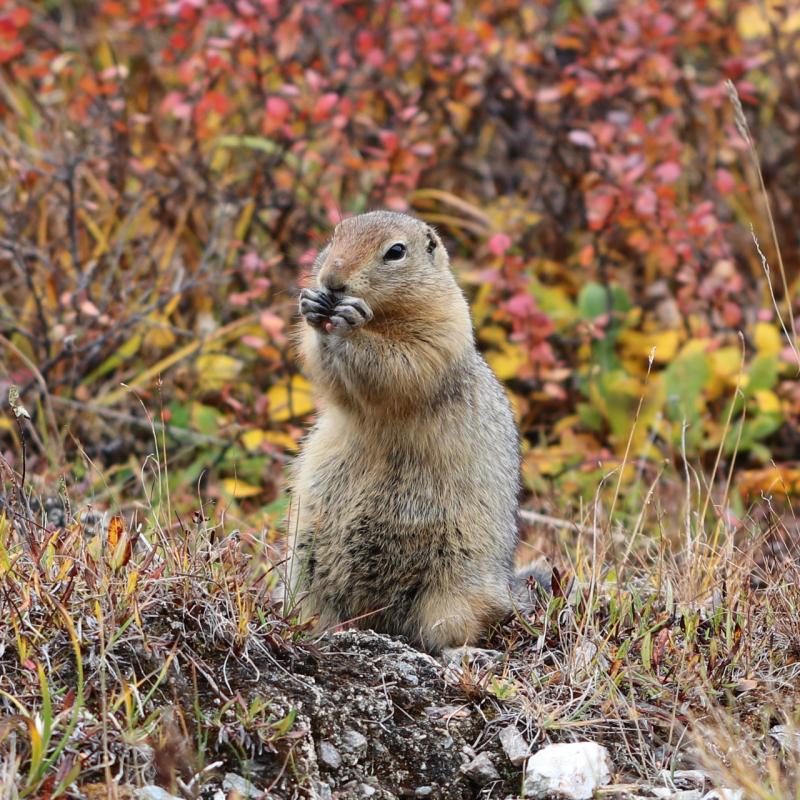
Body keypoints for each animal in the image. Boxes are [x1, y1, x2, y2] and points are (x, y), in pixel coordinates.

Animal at [284, 209, 540, 652]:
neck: (381, 315)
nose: (332, 280)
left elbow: (402, 360)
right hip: (308, 568)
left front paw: (350, 324)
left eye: (395, 251)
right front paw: (312, 308)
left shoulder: (443, 325)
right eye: (335, 235)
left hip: (451, 591)